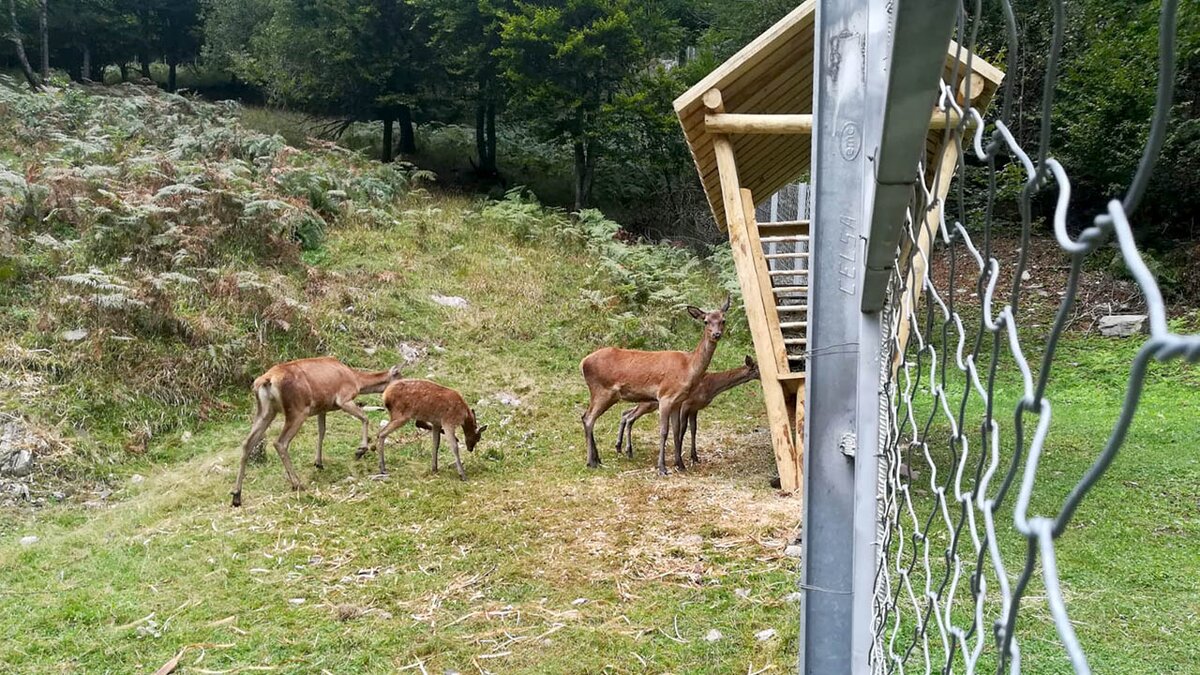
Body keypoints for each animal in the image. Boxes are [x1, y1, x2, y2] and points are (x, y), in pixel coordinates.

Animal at [229, 357, 403, 504]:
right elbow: (365, 418)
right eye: (401, 378)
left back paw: (237, 495)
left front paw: (318, 462)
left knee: (247, 443)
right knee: (280, 442)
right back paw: (297, 484)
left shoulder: (322, 407)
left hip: (266, 411)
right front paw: (360, 450)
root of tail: (266, 381)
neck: (357, 381)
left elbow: (322, 431)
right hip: (297, 410)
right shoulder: (343, 398)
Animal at [580, 296, 729, 475]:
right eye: (706, 321)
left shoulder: (678, 401)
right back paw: (591, 462)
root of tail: (583, 362)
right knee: (588, 418)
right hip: (602, 391)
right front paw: (662, 468)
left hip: (605, 395)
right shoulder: (665, 397)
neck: (688, 368)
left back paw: (598, 459)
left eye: (723, 320)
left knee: (586, 416)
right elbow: (664, 431)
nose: (716, 334)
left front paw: (680, 464)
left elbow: (677, 430)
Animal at [609, 355, 758, 466]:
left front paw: (694, 457)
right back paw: (626, 450)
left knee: (625, 413)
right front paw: (680, 457)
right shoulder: (686, 404)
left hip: (648, 404)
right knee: (630, 416)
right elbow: (683, 428)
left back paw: (620, 447)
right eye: (756, 368)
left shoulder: (694, 408)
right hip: (650, 403)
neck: (711, 386)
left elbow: (693, 429)